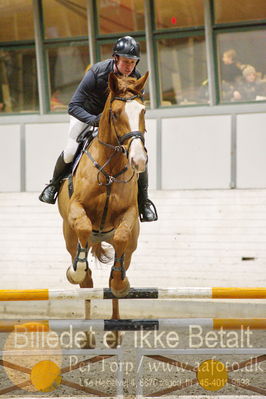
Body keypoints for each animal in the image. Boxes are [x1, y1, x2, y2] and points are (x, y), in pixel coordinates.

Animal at [58, 72, 149, 334]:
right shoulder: (76, 210)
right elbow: (84, 226)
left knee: (118, 265)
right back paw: (87, 332)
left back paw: (115, 329)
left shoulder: (129, 215)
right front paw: (76, 271)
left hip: (131, 245)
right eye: (115, 113)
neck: (109, 169)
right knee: (86, 279)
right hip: (68, 236)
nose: (139, 160)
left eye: (143, 111)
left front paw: (120, 283)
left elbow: (121, 237)